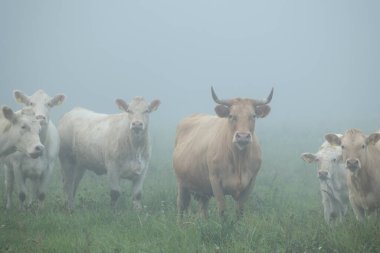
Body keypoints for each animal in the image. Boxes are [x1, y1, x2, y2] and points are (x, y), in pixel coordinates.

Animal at [172, 86, 274, 217]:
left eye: (253, 116)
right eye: (231, 116)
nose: (243, 137)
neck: (239, 160)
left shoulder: (251, 182)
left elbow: (239, 211)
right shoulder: (215, 181)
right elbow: (222, 210)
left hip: (203, 189)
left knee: (202, 210)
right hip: (181, 184)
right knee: (181, 206)